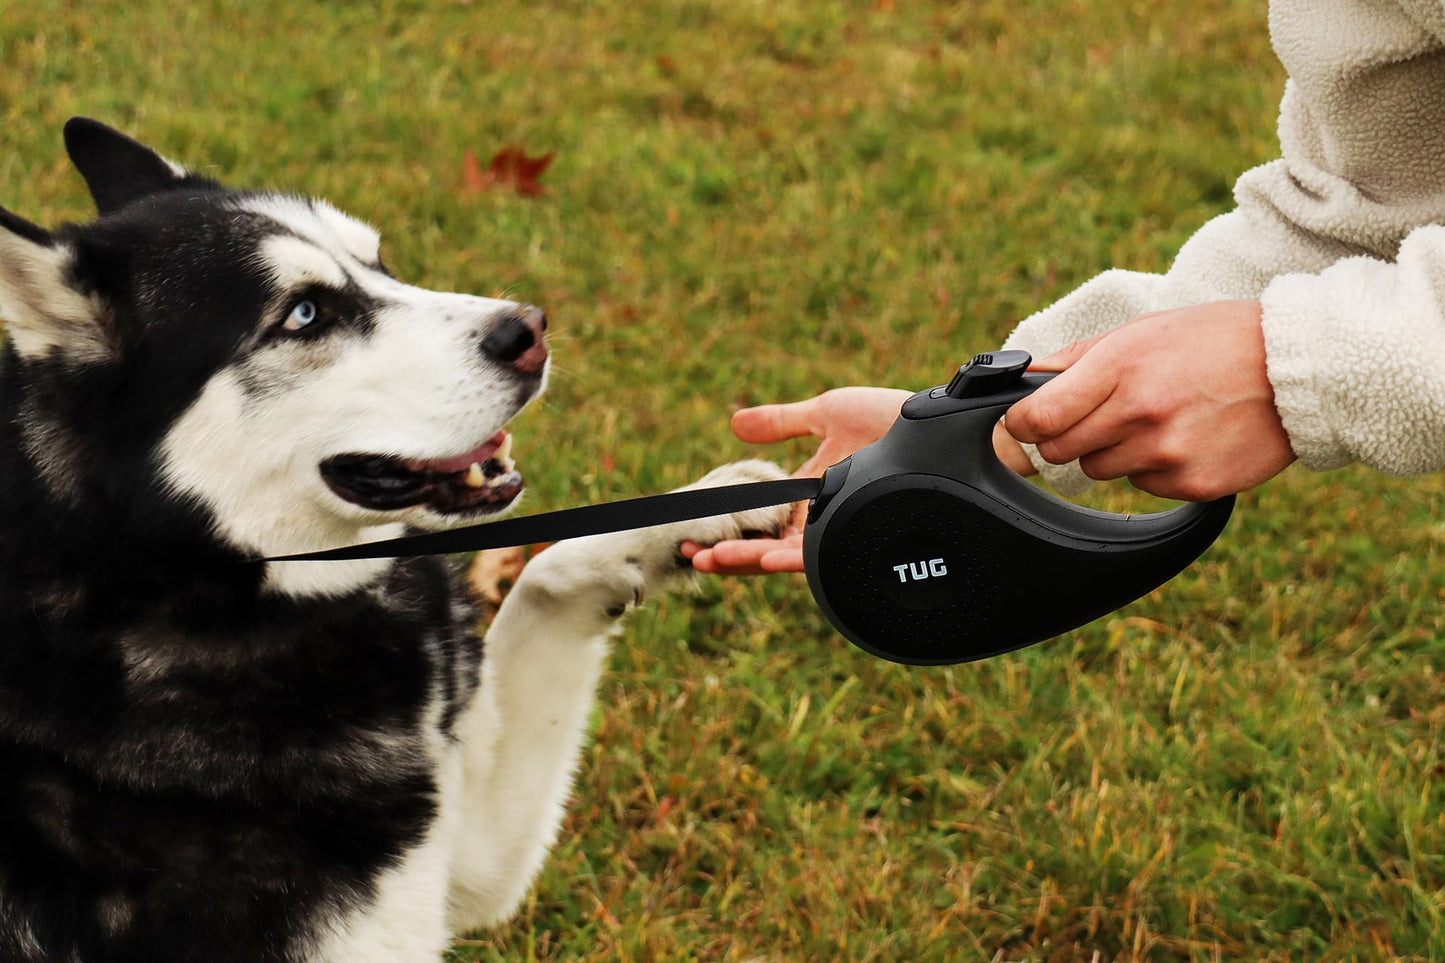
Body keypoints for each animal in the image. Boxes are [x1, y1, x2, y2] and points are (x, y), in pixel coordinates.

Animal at [0, 120, 791, 960]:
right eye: (304, 314)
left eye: (378, 262)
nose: (530, 329)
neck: (199, 588)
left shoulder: (459, 852)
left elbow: (549, 566)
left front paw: (713, 506)